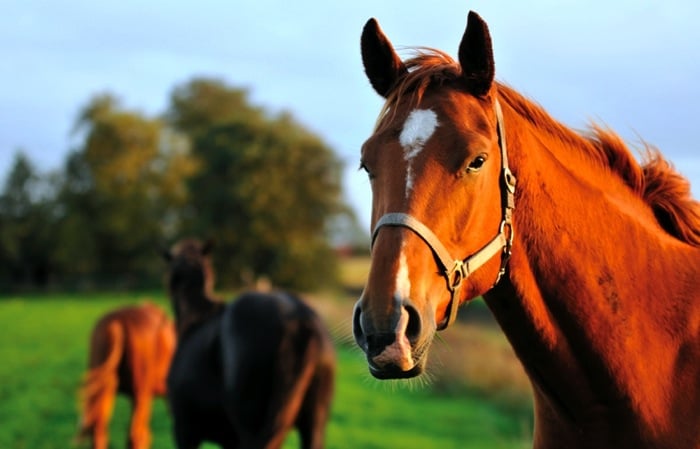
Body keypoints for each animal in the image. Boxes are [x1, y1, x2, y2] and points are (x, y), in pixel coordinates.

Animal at [163, 238, 335, 449]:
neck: (196, 319)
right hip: (314, 423)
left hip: (249, 425)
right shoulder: (227, 440)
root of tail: (298, 319)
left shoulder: (184, 431)